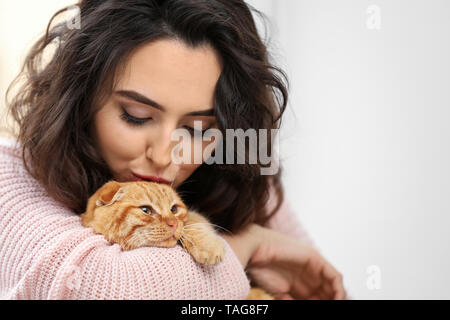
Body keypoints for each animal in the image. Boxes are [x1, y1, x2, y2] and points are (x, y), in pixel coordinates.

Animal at [79, 180, 272, 300]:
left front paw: (209, 246)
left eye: (174, 209)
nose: (173, 224)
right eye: (146, 210)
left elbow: (193, 223)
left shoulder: (192, 218)